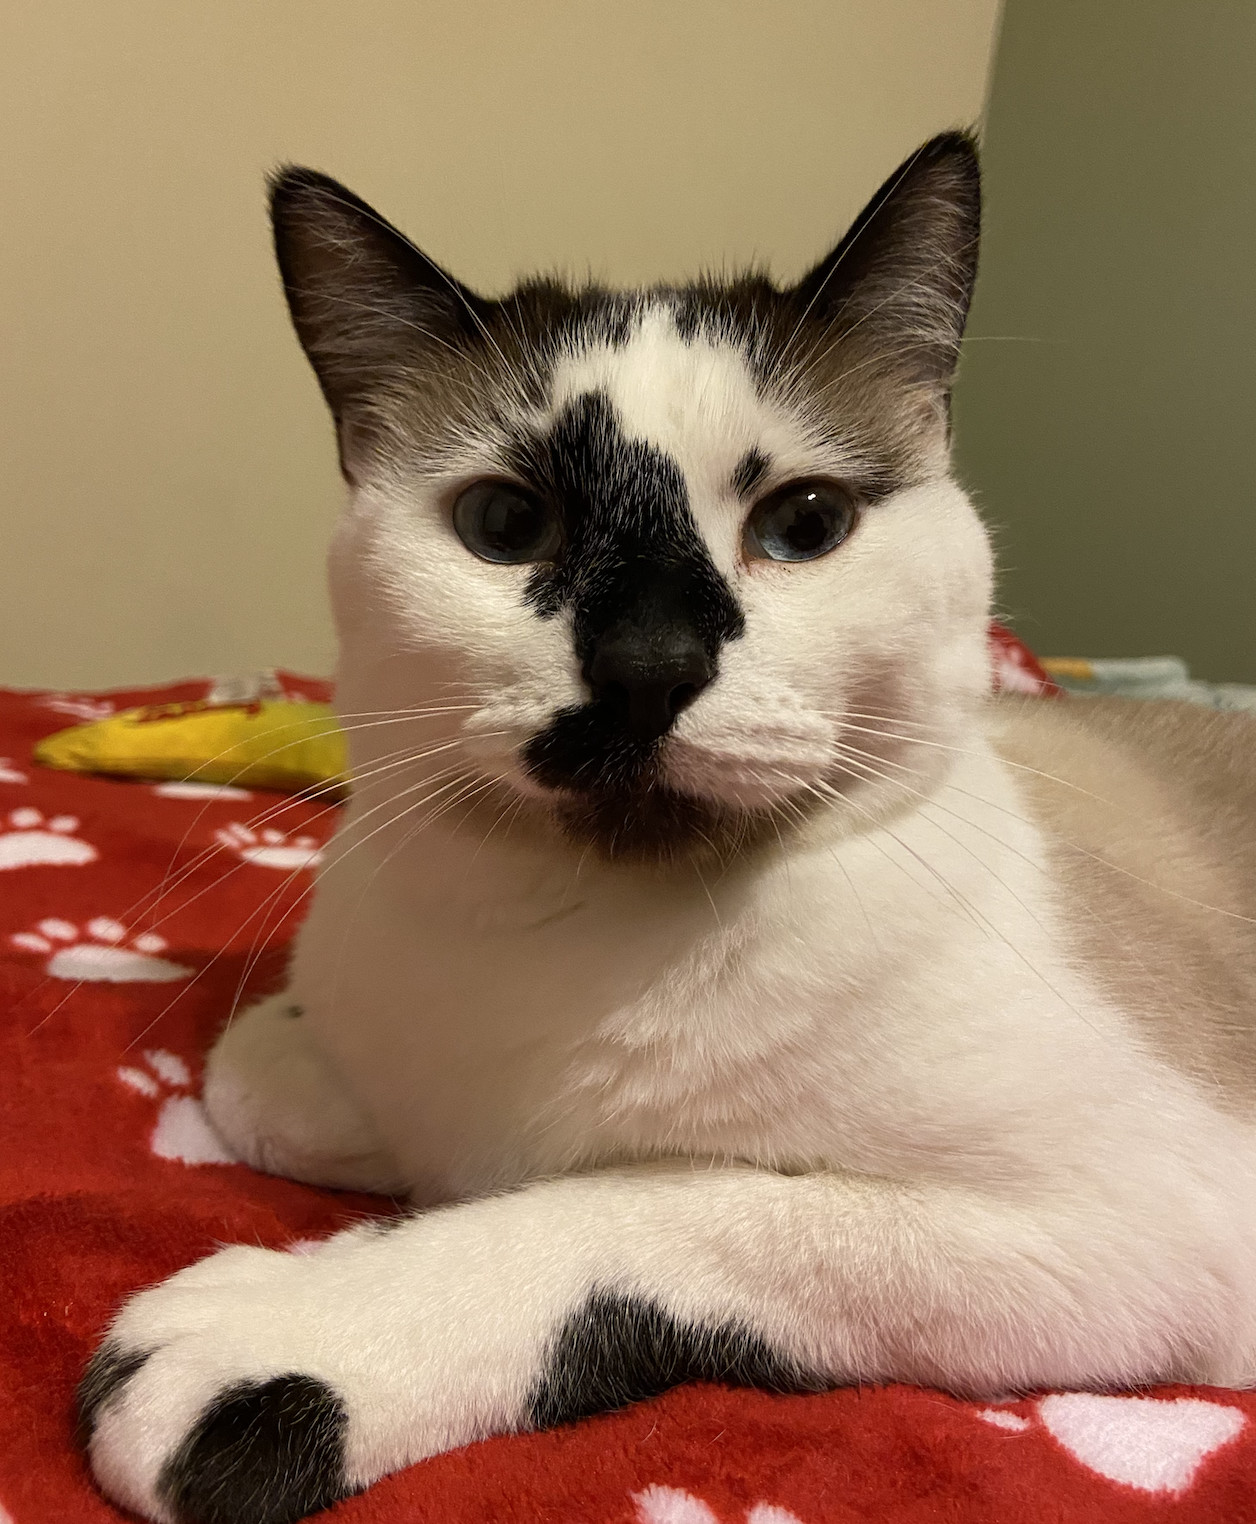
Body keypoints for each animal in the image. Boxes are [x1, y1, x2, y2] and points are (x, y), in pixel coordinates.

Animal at [78, 131, 1256, 1524]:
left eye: (802, 525)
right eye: (505, 524)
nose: (648, 664)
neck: (576, 944)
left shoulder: (1128, 1227)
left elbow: (636, 1200)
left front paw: (304, 1329)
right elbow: (256, 1080)